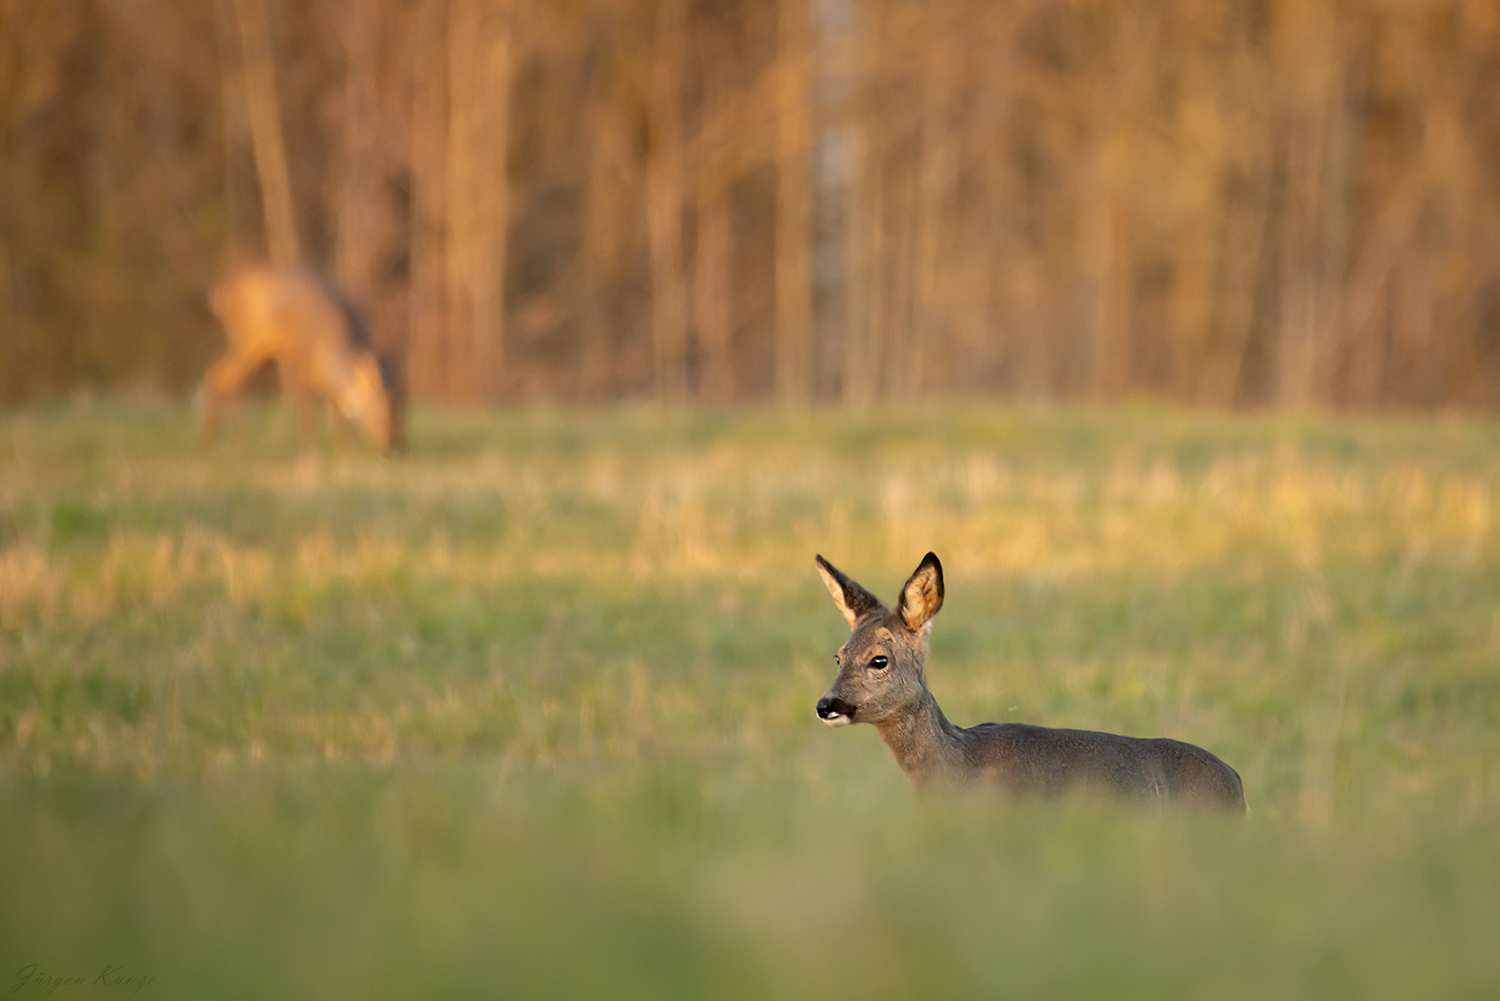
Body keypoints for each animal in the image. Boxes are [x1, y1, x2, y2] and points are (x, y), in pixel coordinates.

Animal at [205, 265, 408, 453]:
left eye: (401, 407)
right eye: (379, 405)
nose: (391, 446)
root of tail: (220, 292)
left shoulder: (329, 381)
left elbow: (337, 413)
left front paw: (345, 451)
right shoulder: (297, 360)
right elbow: (309, 413)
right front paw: (310, 452)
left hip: (255, 350)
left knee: (217, 375)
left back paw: (209, 442)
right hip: (245, 339)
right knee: (228, 379)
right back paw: (238, 444)